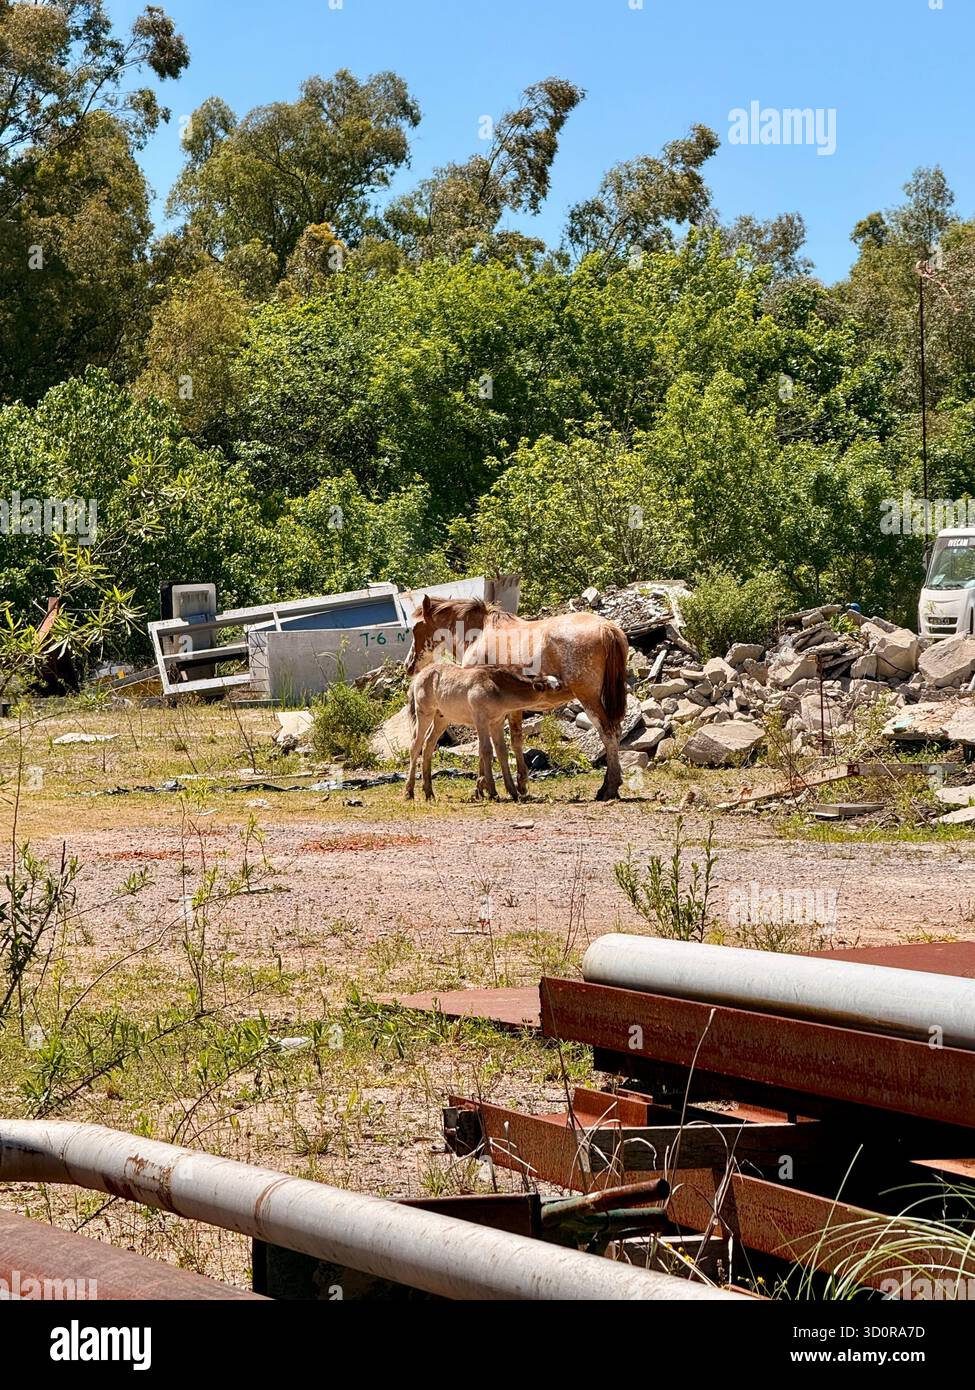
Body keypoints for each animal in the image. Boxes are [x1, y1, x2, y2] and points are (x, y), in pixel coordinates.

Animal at [405, 665, 564, 801]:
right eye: (557, 688)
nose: (567, 690)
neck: (498, 690)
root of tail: (419, 675)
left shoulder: (497, 721)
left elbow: (501, 751)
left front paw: (512, 790)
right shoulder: (480, 719)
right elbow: (486, 750)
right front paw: (493, 791)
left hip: (442, 717)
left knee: (428, 744)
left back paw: (429, 792)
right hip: (424, 712)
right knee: (415, 745)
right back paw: (409, 791)